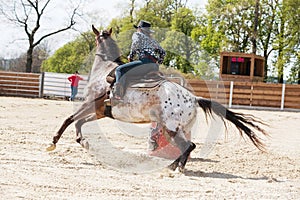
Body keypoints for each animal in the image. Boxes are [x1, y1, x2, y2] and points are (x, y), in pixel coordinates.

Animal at [46, 25, 268, 172]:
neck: (104, 71)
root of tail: (194, 98)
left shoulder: (89, 104)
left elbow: (69, 119)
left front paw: (53, 143)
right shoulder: (101, 112)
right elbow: (79, 122)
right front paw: (83, 141)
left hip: (170, 127)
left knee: (188, 146)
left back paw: (174, 168)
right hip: (180, 128)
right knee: (188, 146)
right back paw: (173, 166)